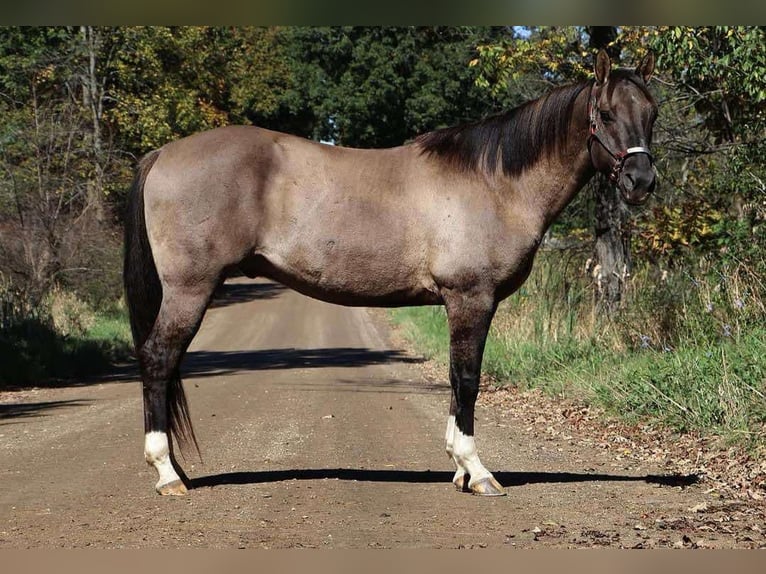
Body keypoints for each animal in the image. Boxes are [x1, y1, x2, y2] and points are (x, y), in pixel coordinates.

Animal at [124, 49, 658, 497]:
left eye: (651, 114)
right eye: (606, 114)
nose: (641, 182)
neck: (494, 183)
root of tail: (163, 153)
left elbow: (454, 378)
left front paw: (459, 469)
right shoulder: (471, 297)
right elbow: (467, 378)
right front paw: (477, 471)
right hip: (190, 289)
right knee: (158, 359)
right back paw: (167, 474)